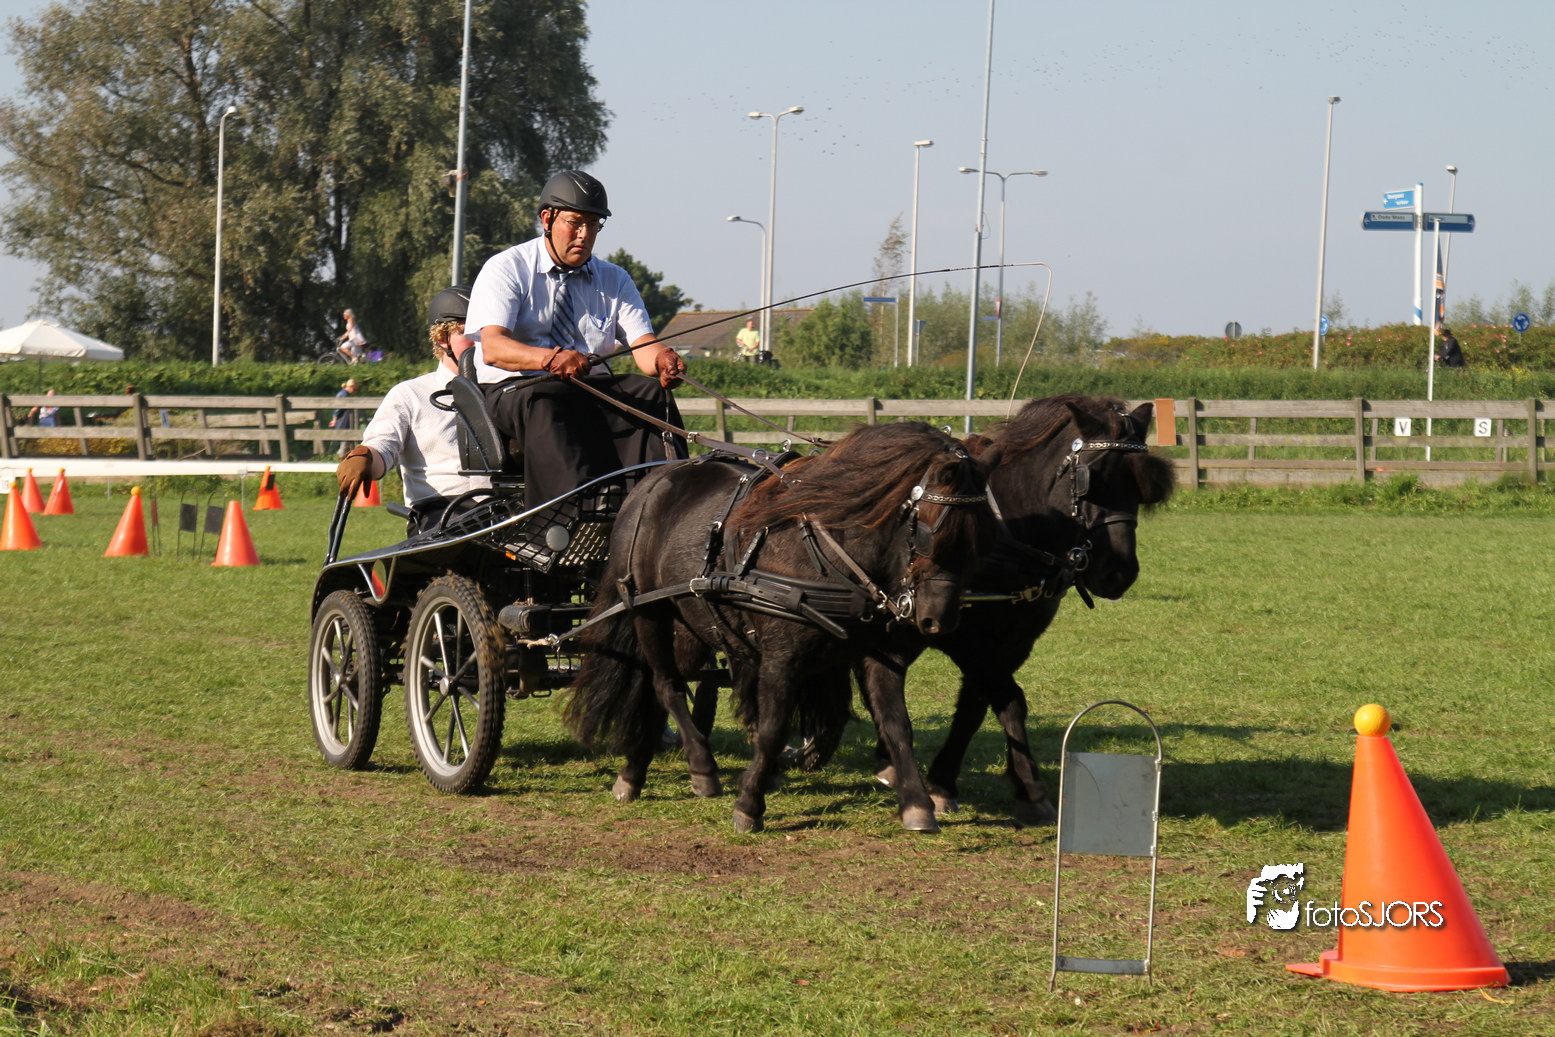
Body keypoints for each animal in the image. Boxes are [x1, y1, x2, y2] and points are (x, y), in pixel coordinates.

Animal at [564, 421, 996, 833]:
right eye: (929, 532)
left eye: (983, 532)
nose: (940, 619)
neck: (834, 553)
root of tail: (651, 482)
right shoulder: (781, 659)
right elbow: (772, 729)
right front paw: (749, 806)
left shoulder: (880, 654)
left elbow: (896, 725)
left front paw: (917, 804)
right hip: (648, 611)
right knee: (665, 684)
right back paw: (701, 767)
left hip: (690, 625)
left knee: (662, 689)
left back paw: (634, 773)